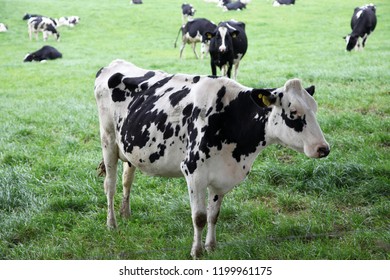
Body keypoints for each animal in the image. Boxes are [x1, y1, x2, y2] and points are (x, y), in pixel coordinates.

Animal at [94, 59, 330, 260]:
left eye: (315, 109)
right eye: (294, 112)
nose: (323, 148)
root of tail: (113, 65)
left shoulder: (221, 177)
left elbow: (213, 215)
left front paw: (211, 246)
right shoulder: (193, 172)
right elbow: (199, 217)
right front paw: (196, 251)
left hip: (130, 148)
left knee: (127, 179)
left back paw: (125, 213)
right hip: (108, 141)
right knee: (110, 185)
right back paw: (112, 223)